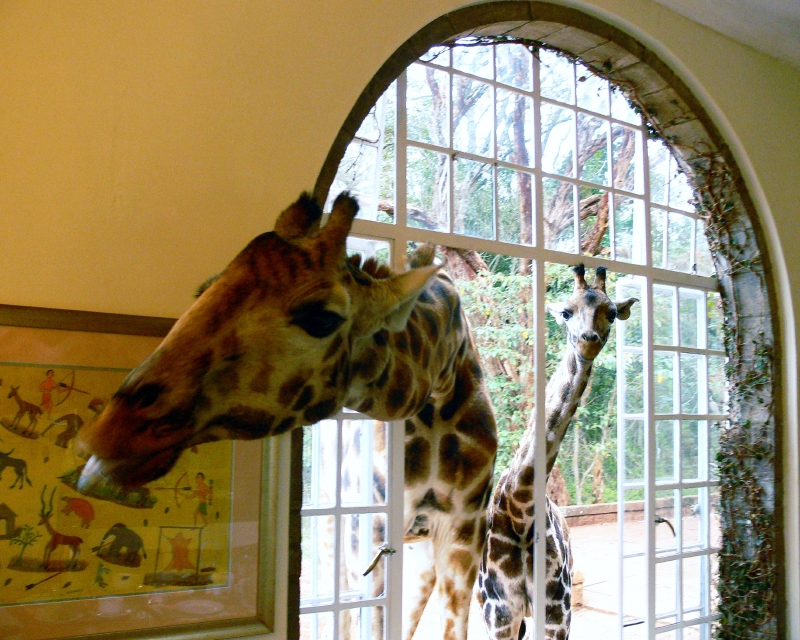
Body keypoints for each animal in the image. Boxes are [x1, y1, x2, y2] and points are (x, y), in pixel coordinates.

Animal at [75, 192, 497, 640]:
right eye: (203, 290)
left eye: (322, 317)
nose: (108, 431)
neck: (439, 382)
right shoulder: (371, 533)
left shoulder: (463, 532)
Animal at [478, 265, 637, 640]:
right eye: (566, 312)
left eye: (611, 312)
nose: (588, 340)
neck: (519, 510)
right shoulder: (500, 614)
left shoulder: (556, 610)